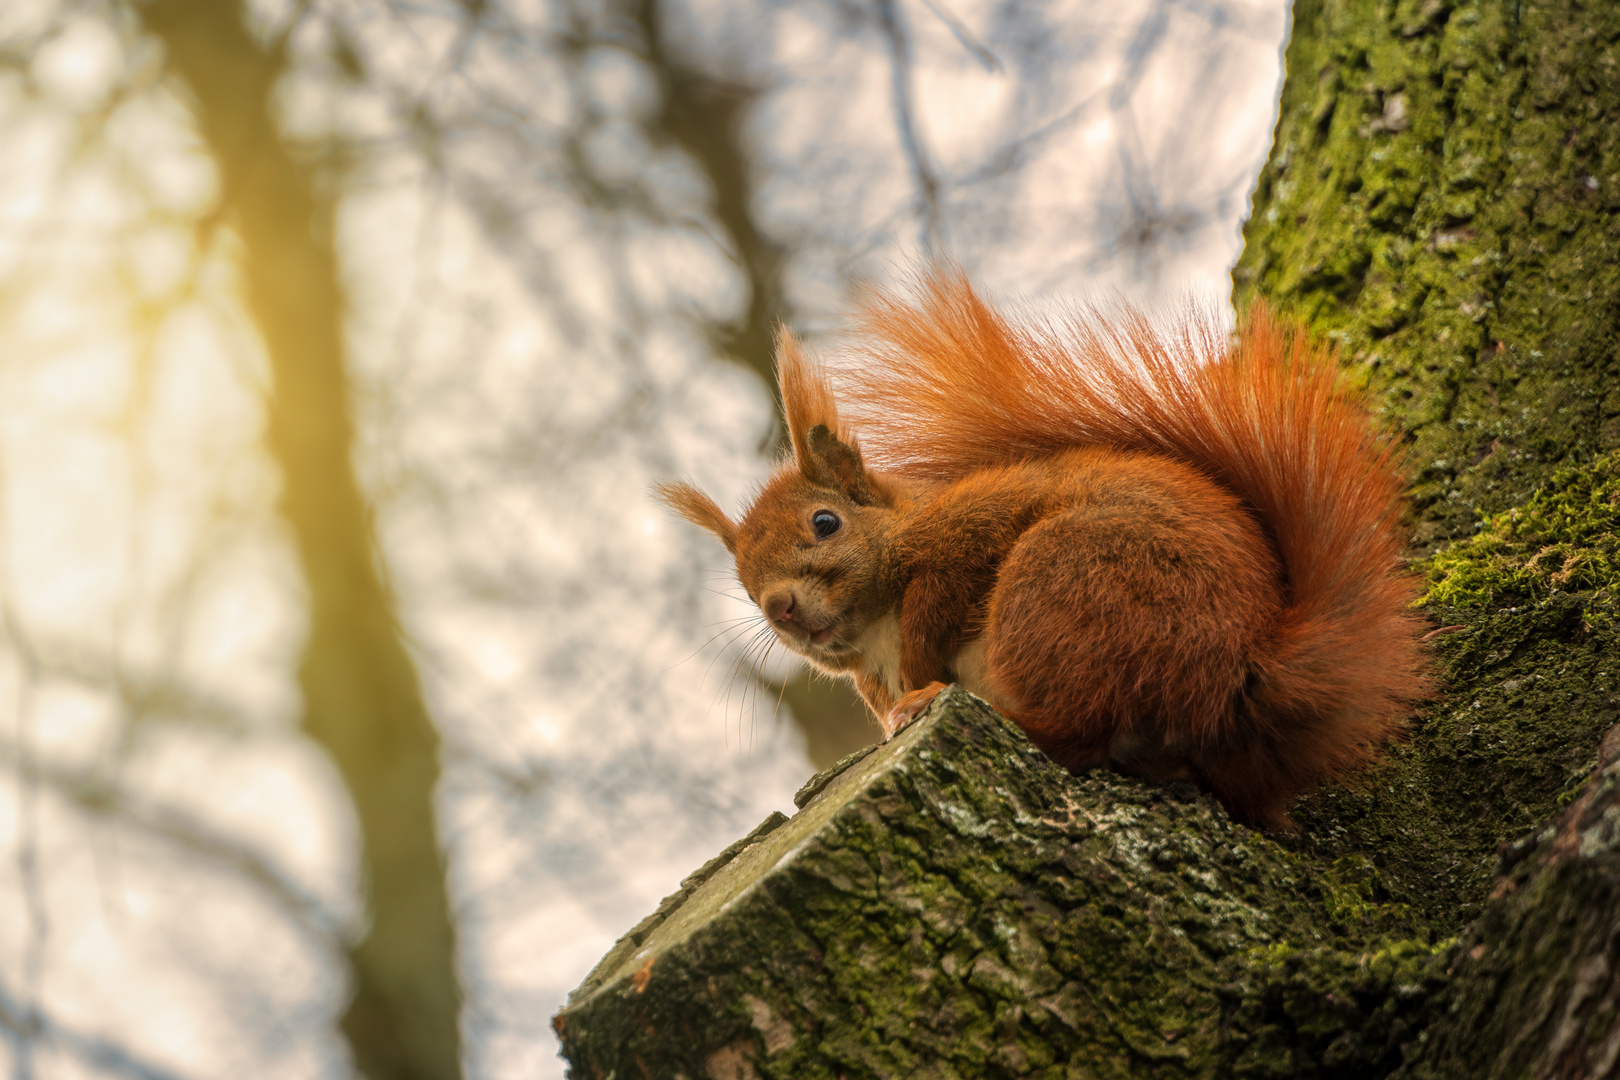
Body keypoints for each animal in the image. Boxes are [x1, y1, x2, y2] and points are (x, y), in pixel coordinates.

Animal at [657, 272, 1432, 829]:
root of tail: (1240, 671)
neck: (874, 629)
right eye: (743, 583)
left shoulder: (971, 529)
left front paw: (920, 680)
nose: (780, 607)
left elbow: (938, 601)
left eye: (825, 523)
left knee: (1070, 735)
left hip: (1059, 582)